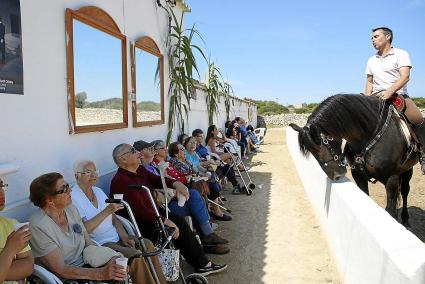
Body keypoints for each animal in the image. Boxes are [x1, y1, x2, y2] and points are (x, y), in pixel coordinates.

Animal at [288, 93, 418, 226]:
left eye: (322, 143)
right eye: (311, 151)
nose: (335, 175)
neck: (369, 137)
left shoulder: (392, 178)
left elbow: (390, 210)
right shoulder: (358, 175)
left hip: (407, 170)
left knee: (405, 190)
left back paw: (405, 219)